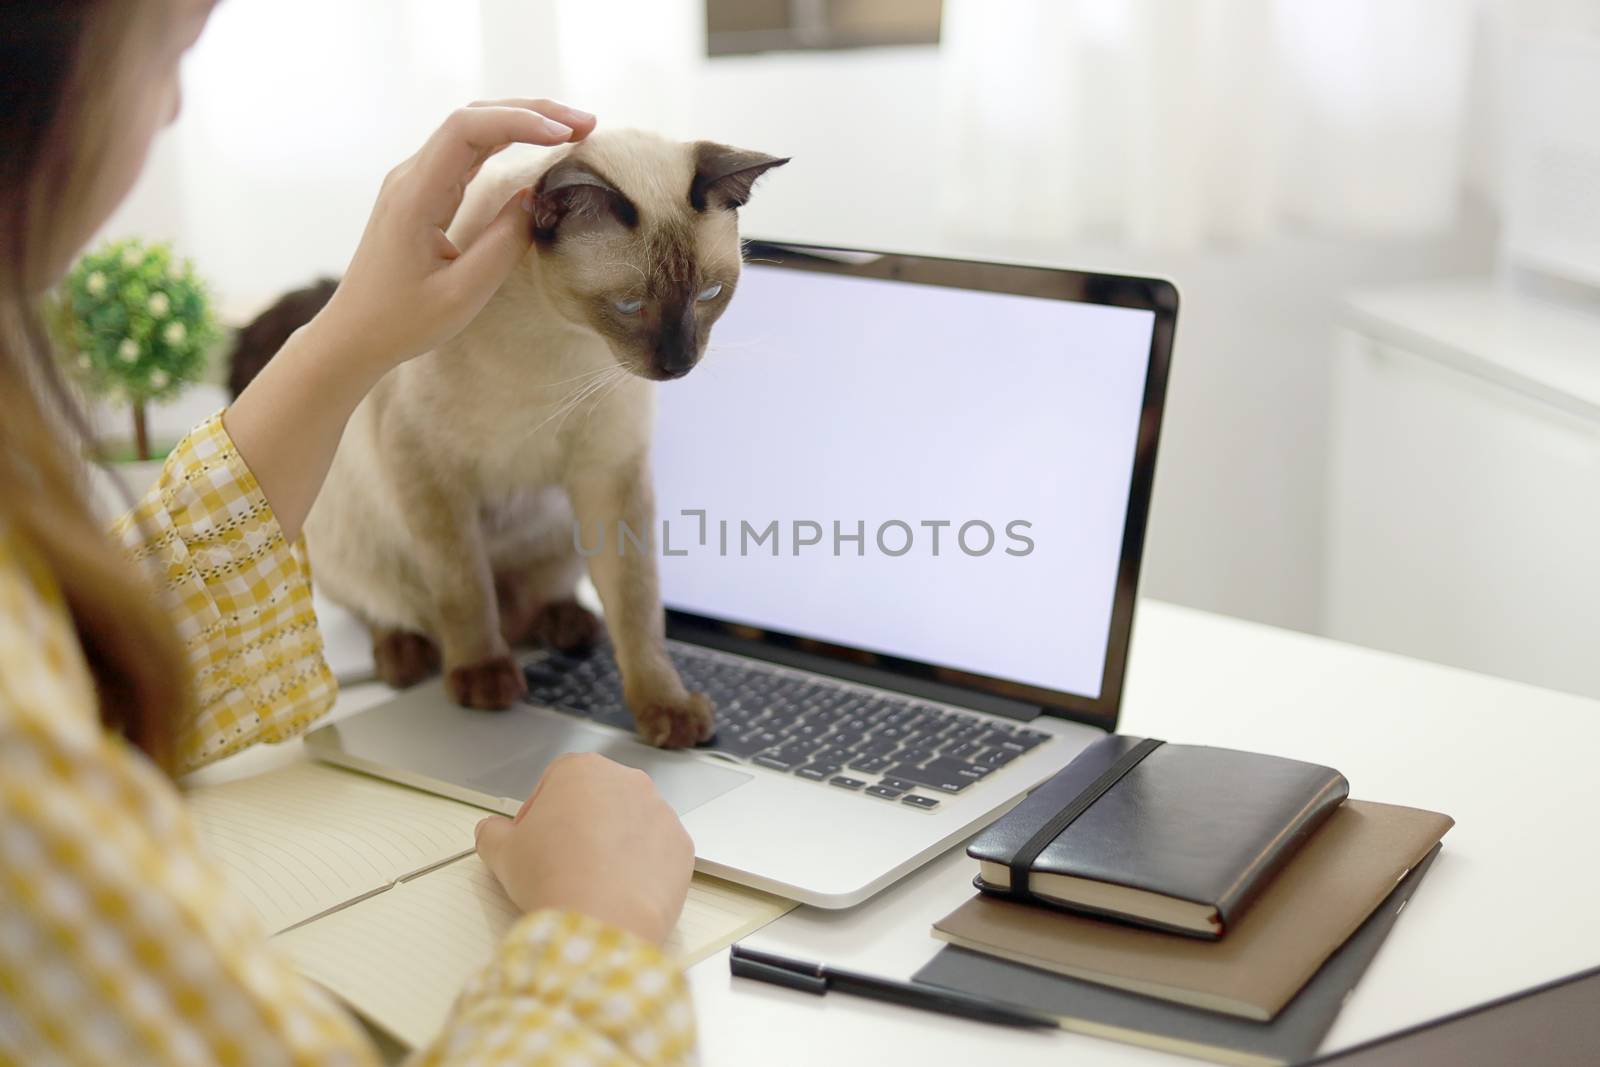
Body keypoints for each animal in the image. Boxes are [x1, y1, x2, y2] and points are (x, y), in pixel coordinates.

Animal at [233, 131, 784, 751]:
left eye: (710, 294)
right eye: (629, 306)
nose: (678, 364)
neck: (557, 336)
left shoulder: (609, 473)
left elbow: (638, 607)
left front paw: (665, 711)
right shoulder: (428, 468)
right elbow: (466, 589)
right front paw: (483, 679)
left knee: (544, 604)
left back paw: (569, 625)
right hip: (341, 534)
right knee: (396, 610)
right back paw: (408, 656)